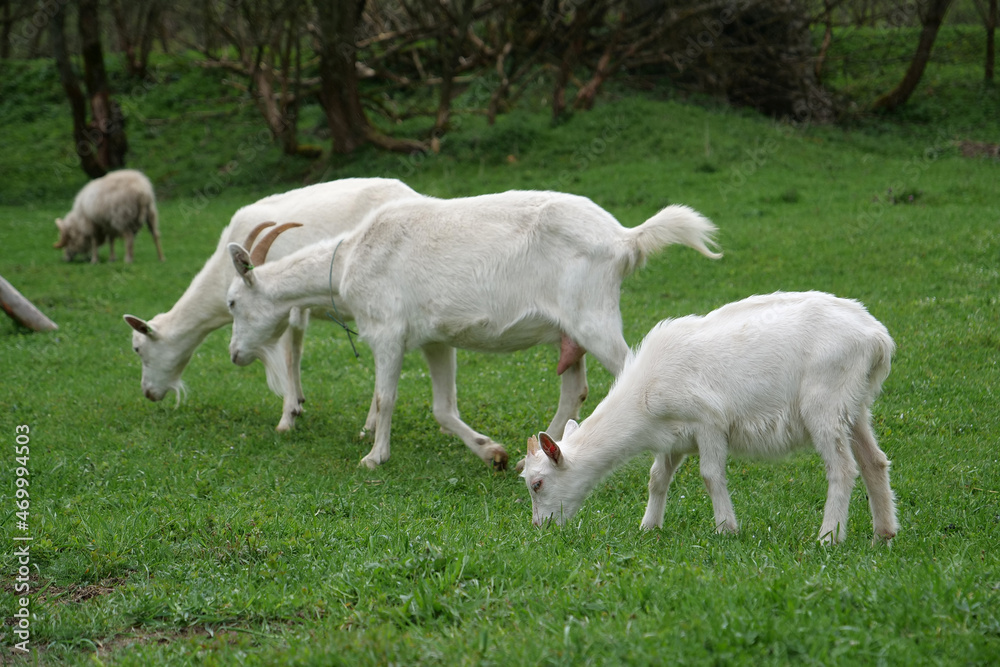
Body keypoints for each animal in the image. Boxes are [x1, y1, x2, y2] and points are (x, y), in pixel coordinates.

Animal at [123, 178, 422, 431]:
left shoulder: (287, 307)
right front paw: (298, 402)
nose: (148, 393)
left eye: (138, 349)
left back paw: (369, 424)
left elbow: (289, 356)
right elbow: (297, 351)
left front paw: (287, 417)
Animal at [225, 190, 721, 470]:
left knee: (629, 372)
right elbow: (443, 408)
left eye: (232, 302)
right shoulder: (435, 340)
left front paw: (373, 458)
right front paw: (492, 453)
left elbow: (386, 397)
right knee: (574, 389)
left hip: (592, 315)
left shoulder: (387, 331)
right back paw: (538, 453)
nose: (234, 356)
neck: (351, 257)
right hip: (571, 332)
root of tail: (625, 239)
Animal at [521, 291, 898, 544]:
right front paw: (649, 526)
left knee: (843, 468)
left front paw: (726, 529)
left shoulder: (709, 423)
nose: (540, 528)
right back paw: (884, 533)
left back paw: (828, 537)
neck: (642, 404)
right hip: (855, 404)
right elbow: (657, 478)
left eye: (537, 483)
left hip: (824, 402)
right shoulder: (673, 438)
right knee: (874, 461)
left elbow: (710, 476)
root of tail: (878, 339)